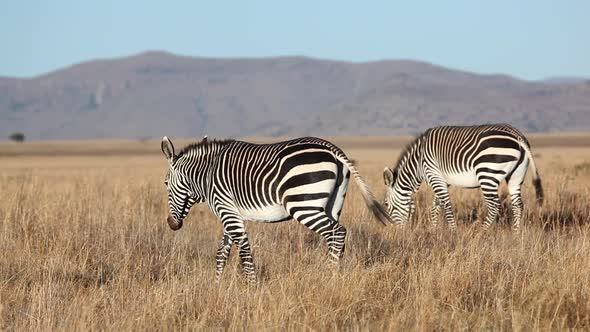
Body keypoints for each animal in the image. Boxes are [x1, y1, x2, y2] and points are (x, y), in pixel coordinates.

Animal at [162, 135, 394, 282]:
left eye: (165, 183)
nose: (171, 224)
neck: (207, 176)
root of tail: (331, 148)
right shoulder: (231, 213)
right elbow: (222, 252)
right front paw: (217, 286)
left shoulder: (226, 211)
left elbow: (243, 251)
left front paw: (251, 288)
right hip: (333, 204)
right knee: (335, 236)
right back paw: (334, 273)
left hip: (303, 205)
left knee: (337, 232)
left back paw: (331, 276)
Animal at [384, 124, 544, 231]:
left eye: (386, 204)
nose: (396, 231)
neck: (418, 163)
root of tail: (517, 135)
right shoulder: (443, 181)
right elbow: (436, 205)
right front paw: (433, 230)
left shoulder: (434, 175)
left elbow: (447, 205)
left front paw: (453, 233)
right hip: (515, 176)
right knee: (518, 205)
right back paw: (516, 234)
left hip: (487, 173)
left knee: (494, 206)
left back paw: (481, 233)